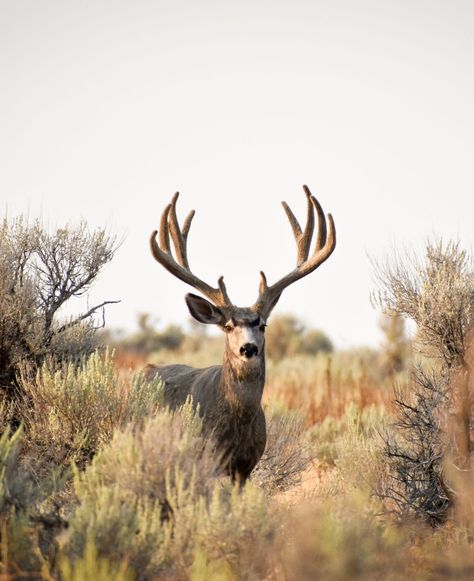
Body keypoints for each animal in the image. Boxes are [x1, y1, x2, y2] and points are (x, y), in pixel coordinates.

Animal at [146, 186, 336, 480]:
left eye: (262, 324)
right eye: (228, 326)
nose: (248, 348)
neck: (238, 423)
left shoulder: (246, 466)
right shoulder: (208, 457)